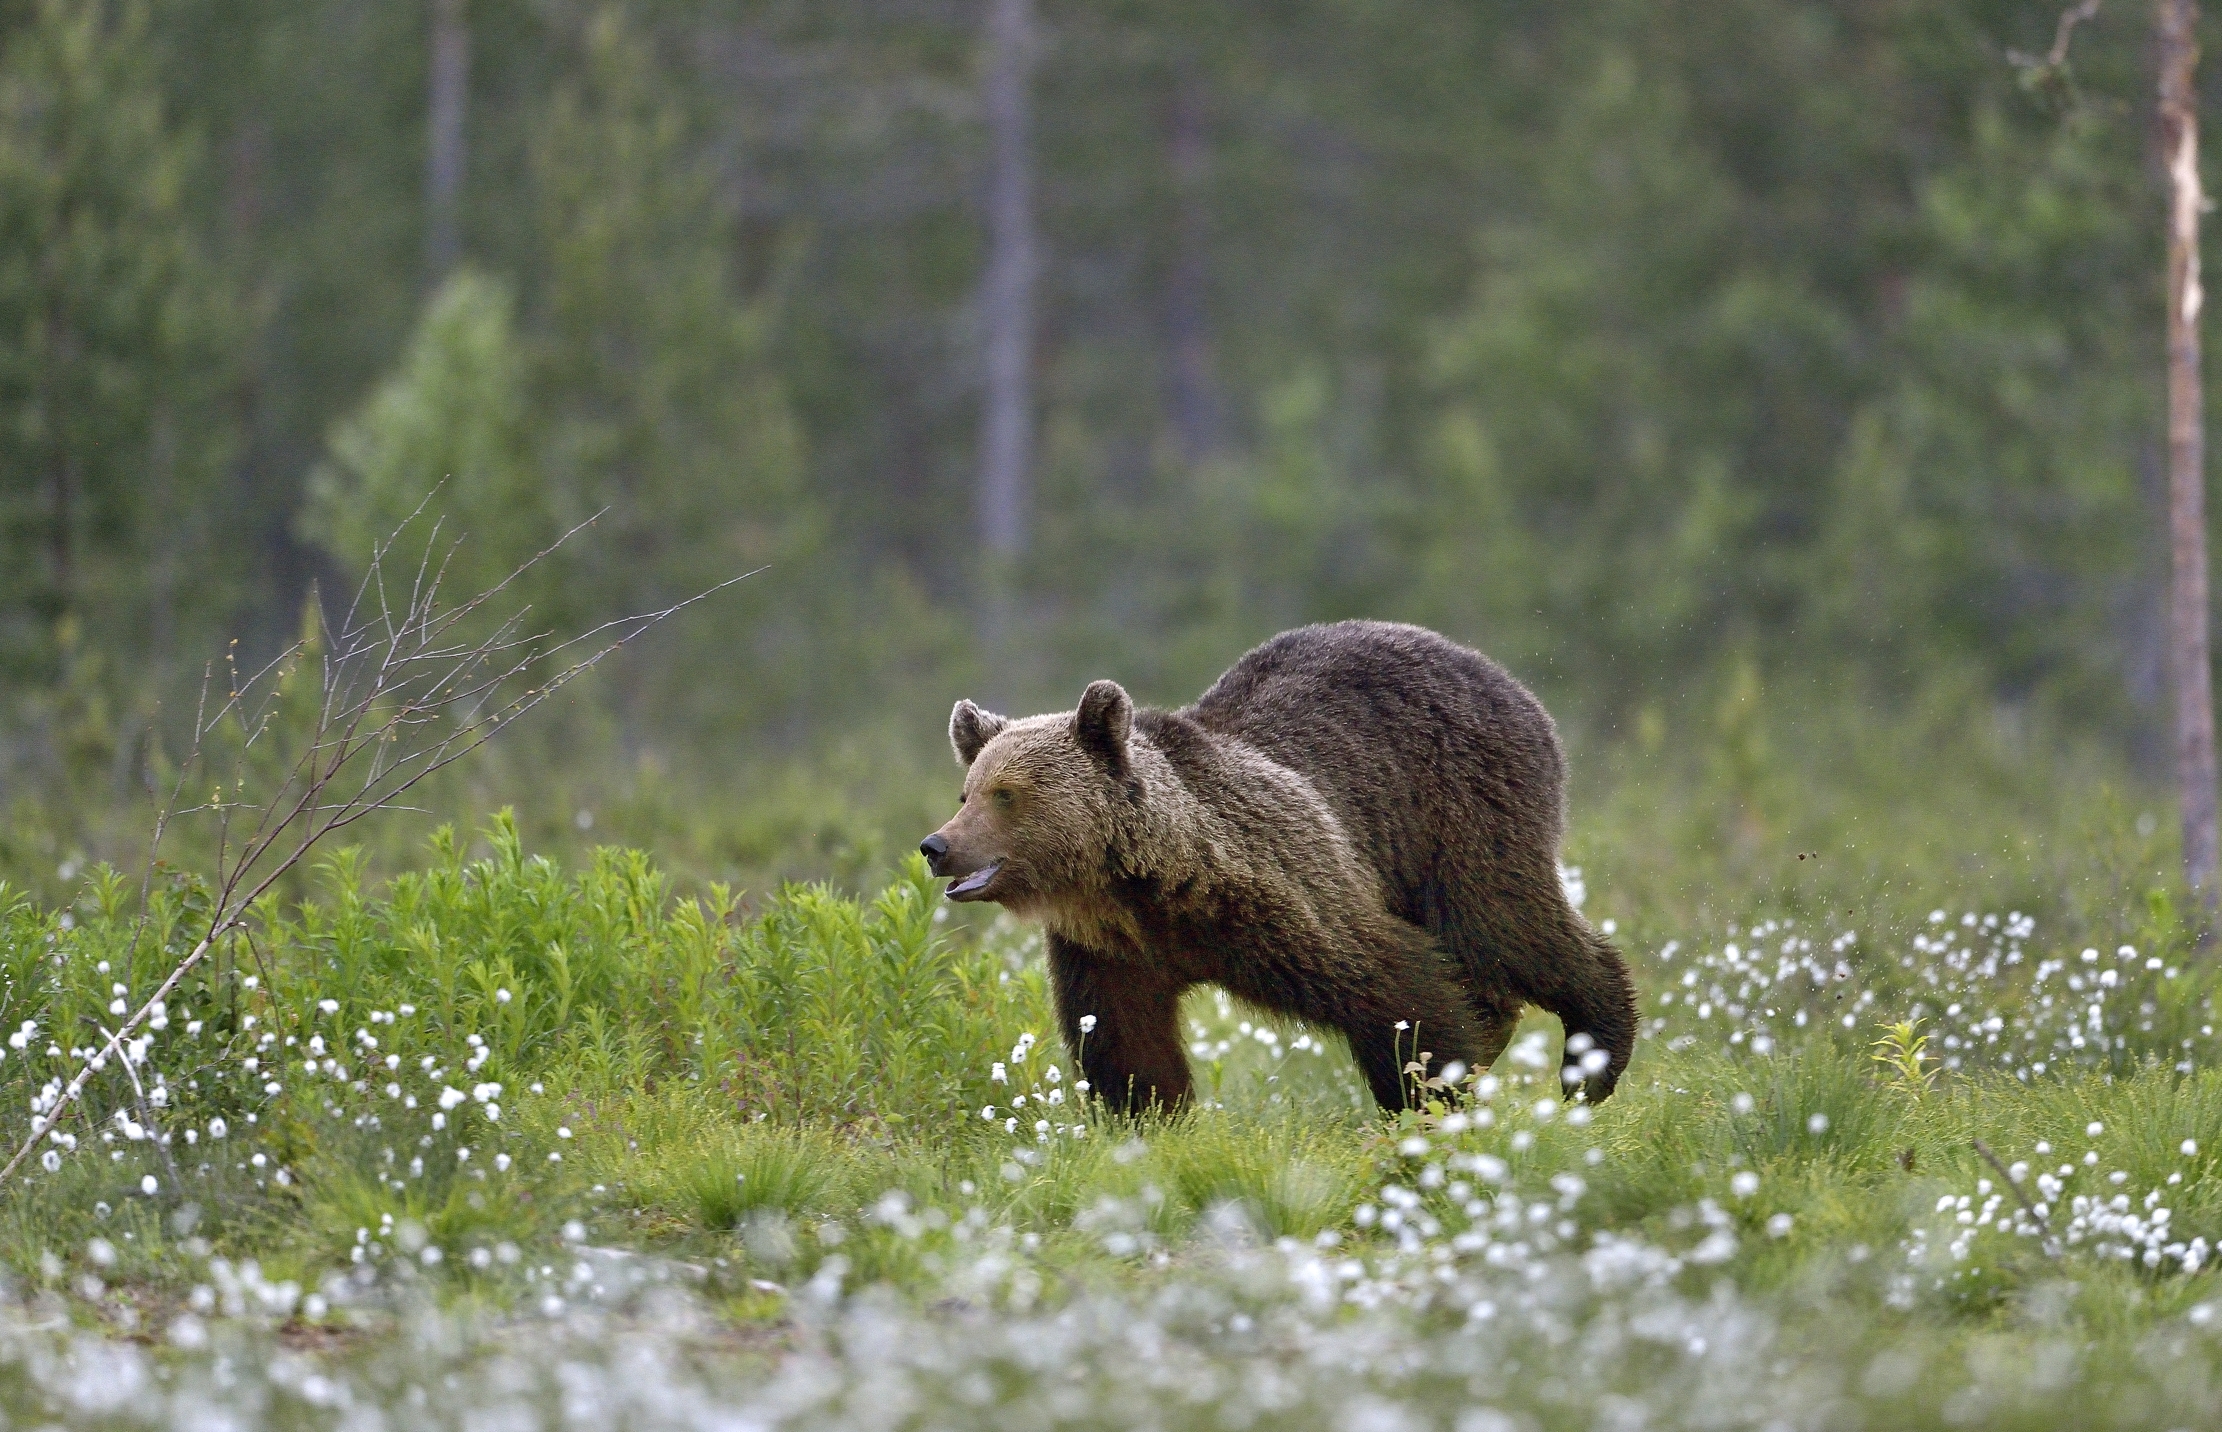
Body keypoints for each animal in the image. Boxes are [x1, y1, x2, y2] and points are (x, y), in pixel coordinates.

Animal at [918, 620, 1637, 1114]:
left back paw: (1592, 1061)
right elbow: (1126, 1045)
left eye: (1005, 794)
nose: (936, 846)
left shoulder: (1289, 889)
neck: (1148, 886)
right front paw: (1148, 1118)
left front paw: (1431, 1097)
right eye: (965, 792)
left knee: (1504, 923)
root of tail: (1503, 677)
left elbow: (1397, 983)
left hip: (1460, 808)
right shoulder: (1112, 951)